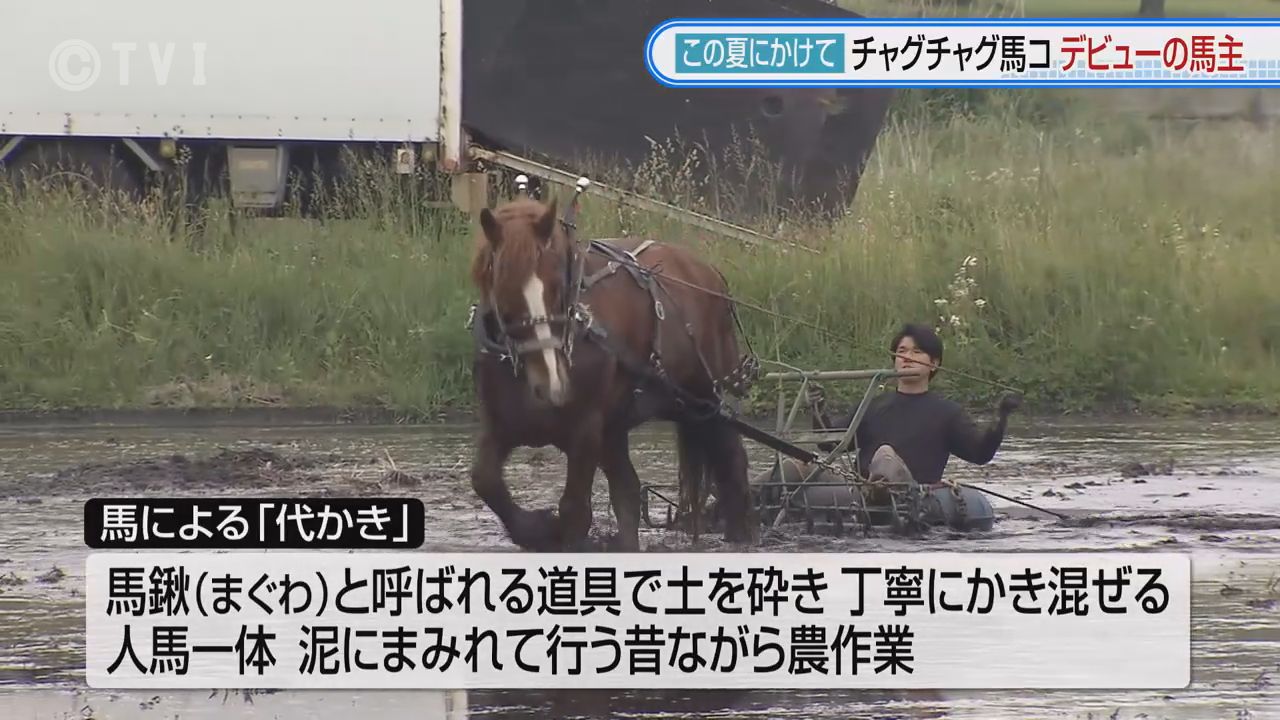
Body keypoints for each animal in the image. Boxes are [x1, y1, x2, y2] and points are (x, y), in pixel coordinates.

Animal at [465, 185, 760, 552]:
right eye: (503, 292)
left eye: (558, 288)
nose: (552, 387)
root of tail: (709, 273)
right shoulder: (501, 426)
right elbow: (485, 481)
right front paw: (538, 529)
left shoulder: (586, 430)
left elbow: (575, 511)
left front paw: (552, 530)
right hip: (621, 426)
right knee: (629, 491)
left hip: (710, 399)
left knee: (732, 463)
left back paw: (740, 536)